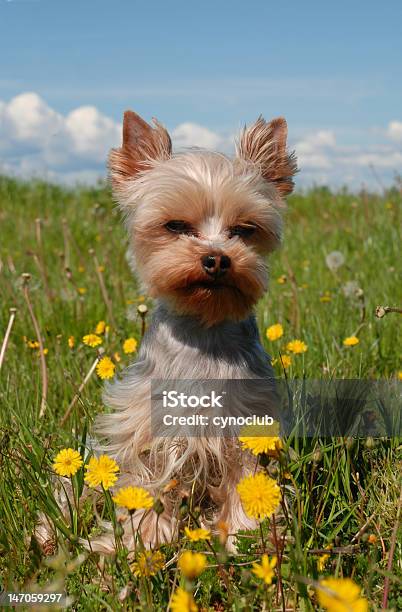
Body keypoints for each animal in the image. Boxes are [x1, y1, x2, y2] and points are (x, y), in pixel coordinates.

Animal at [36, 109, 296, 556]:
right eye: (176, 225)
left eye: (244, 229)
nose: (217, 259)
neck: (203, 330)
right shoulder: (146, 426)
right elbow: (147, 480)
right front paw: (144, 540)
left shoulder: (247, 423)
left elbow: (246, 479)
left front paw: (246, 537)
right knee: (76, 492)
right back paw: (49, 535)